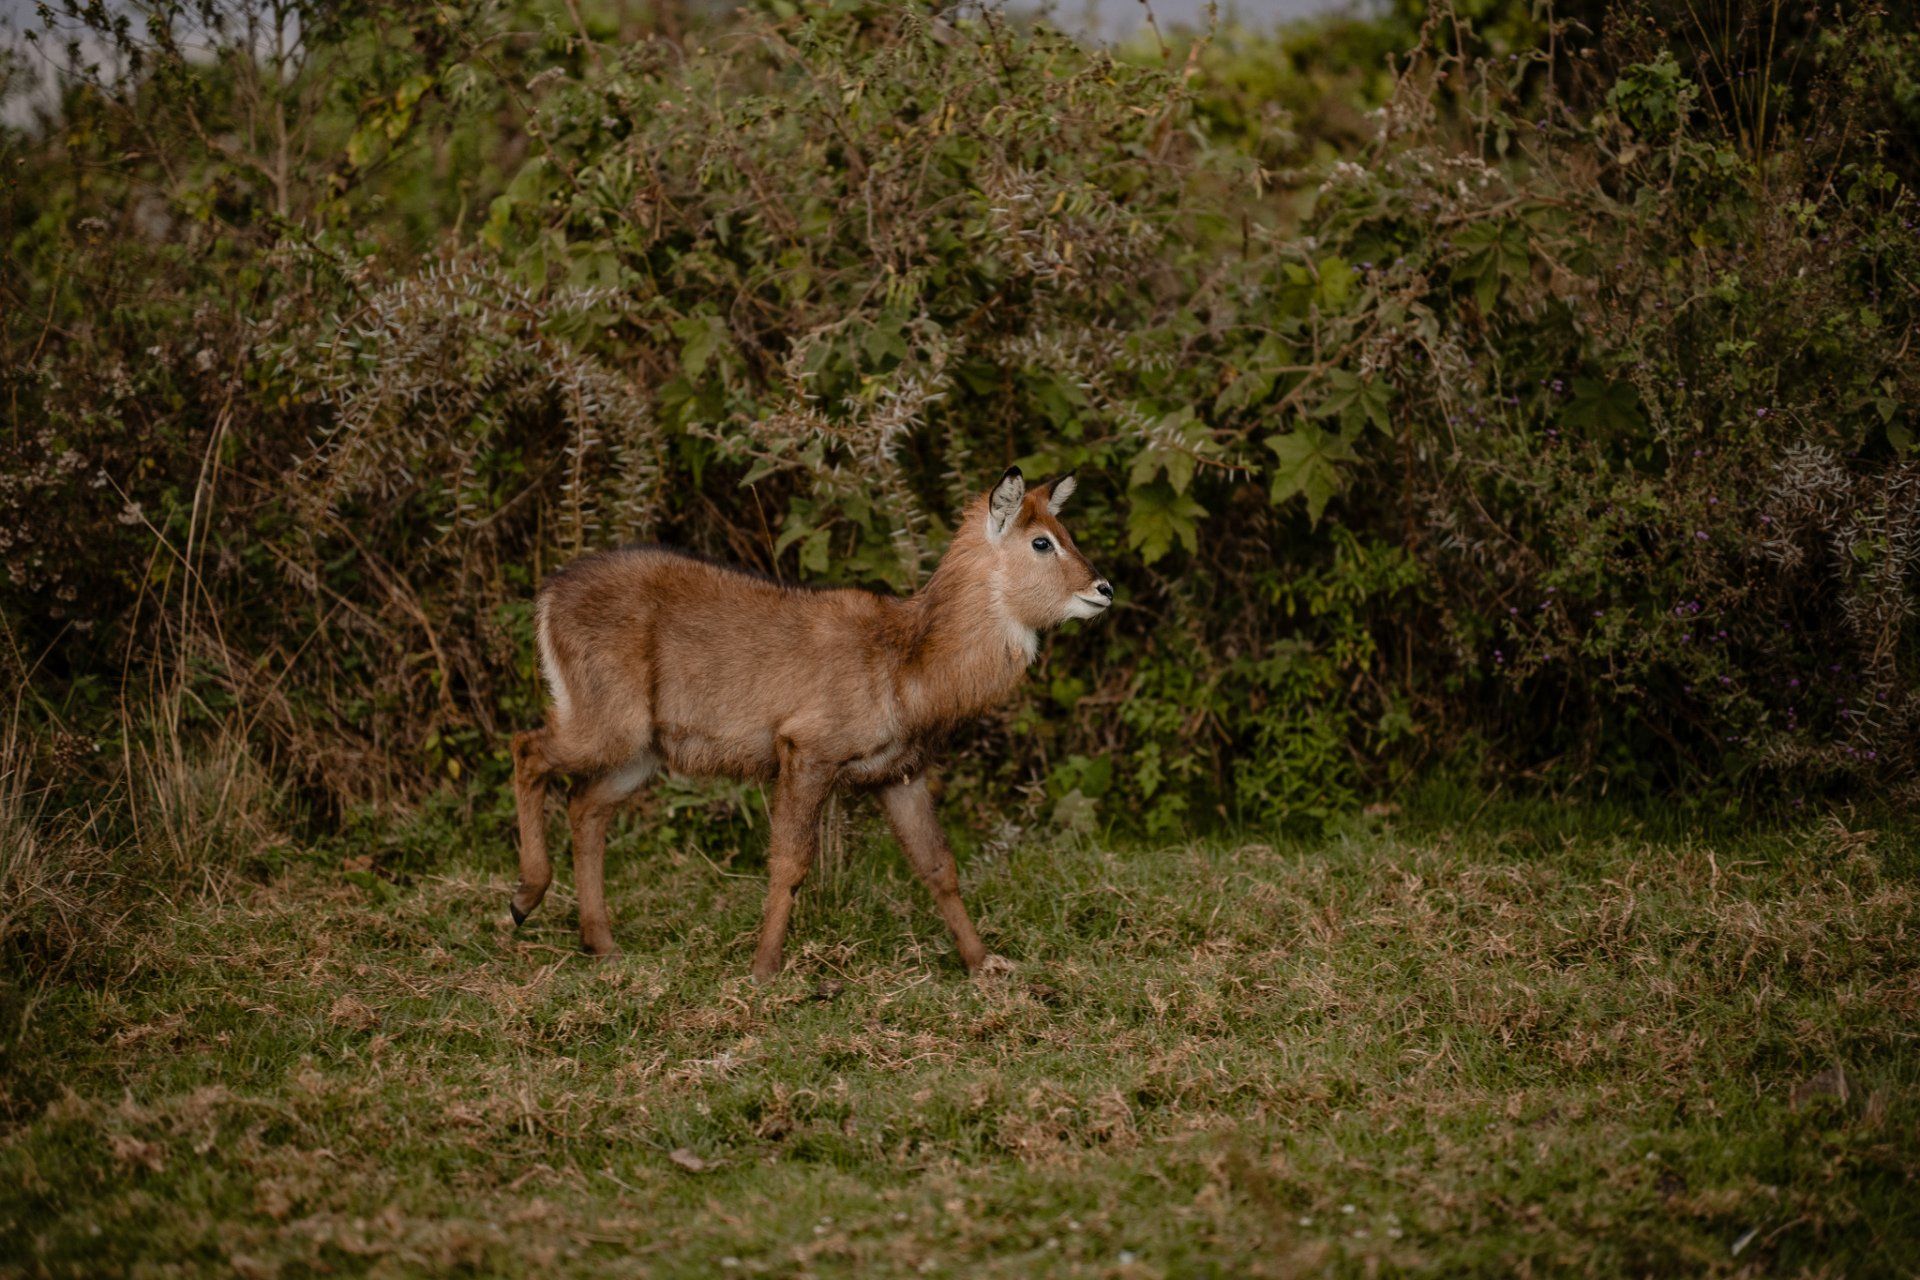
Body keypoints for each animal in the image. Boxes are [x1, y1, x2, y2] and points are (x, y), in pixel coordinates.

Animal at [507, 467, 1112, 981]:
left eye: (1066, 530)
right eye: (1042, 541)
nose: (1104, 589)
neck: (909, 666)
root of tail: (549, 592)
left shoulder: (899, 773)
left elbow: (939, 866)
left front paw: (985, 963)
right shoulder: (806, 750)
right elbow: (790, 863)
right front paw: (763, 970)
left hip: (642, 751)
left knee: (584, 805)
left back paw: (601, 944)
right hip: (609, 724)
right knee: (527, 748)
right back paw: (523, 899)